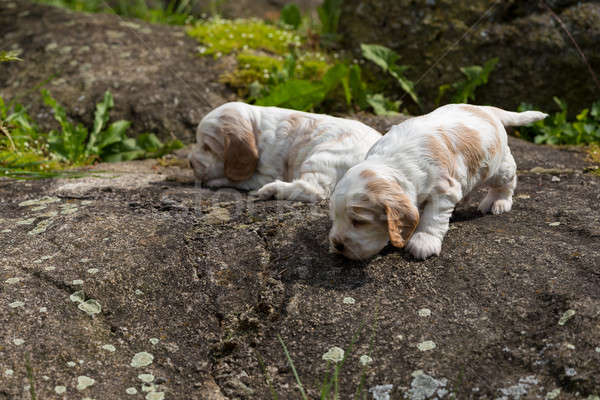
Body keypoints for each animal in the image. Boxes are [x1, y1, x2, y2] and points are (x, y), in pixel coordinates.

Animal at [190, 101, 382, 202]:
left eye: (207, 147)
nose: (190, 163)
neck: (256, 128)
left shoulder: (266, 173)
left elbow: (237, 179)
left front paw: (214, 181)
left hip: (323, 156)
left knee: (314, 190)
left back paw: (272, 190)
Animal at [328, 104, 548, 260]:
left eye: (359, 222)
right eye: (334, 218)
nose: (337, 244)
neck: (393, 163)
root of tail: (486, 109)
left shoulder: (444, 190)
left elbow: (432, 218)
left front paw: (423, 242)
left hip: (497, 166)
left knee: (508, 178)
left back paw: (499, 202)